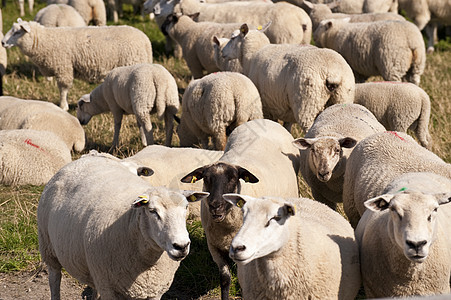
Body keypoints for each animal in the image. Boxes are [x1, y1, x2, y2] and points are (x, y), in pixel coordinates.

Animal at [1, 19, 154, 112]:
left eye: (17, 32)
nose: (2, 42)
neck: (44, 41)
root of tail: (146, 40)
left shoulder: (63, 67)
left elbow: (63, 88)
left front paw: (63, 106)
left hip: (131, 64)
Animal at [38, 155, 209, 300]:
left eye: (186, 207)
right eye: (152, 211)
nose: (181, 246)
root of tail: (82, 159)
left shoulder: (154, 291)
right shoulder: (110, 288)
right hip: (48, 246)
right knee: (54, 278)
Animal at [180, 119, 300, 300]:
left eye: (233, 179)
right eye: (206, 179)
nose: (215, 205)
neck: (226, 229)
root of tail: (265, 120)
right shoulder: (214, 246)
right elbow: (225, 279)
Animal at [222, 24, 356, 134]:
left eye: (233, 38)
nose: (222, 52)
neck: (252, 56)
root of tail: (333, 72)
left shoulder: (267, 107)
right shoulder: (286, 110)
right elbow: (287, 129)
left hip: (307, 103)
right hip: (342, 97)